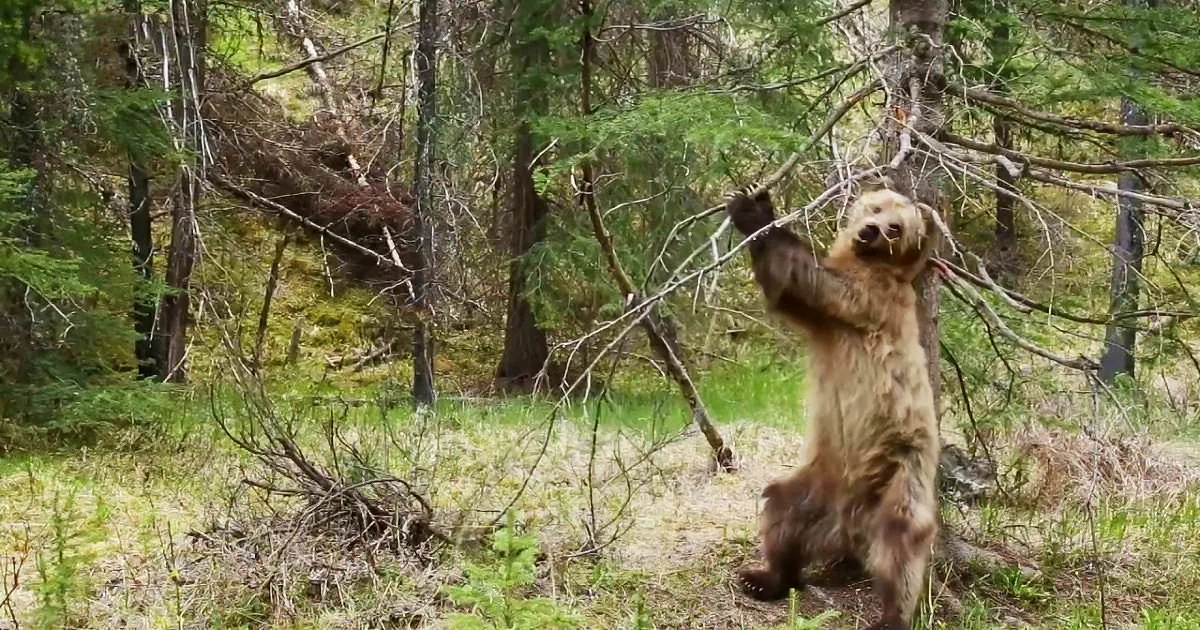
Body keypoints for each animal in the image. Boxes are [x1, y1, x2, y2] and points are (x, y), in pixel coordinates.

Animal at [725, 185, 940, 630]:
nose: (871, 231)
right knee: (781, 510)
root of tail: (850, 524)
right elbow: (790, 294)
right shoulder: (824, 324)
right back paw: (766, 577)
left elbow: (810, 280)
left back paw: (892, 615)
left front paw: (753, 213)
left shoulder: (868, 297)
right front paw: (758, 201)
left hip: (903, 469)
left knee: (901, 545)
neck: (868, 262)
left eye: (897, 226)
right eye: (876, 207)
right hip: (819, 481)